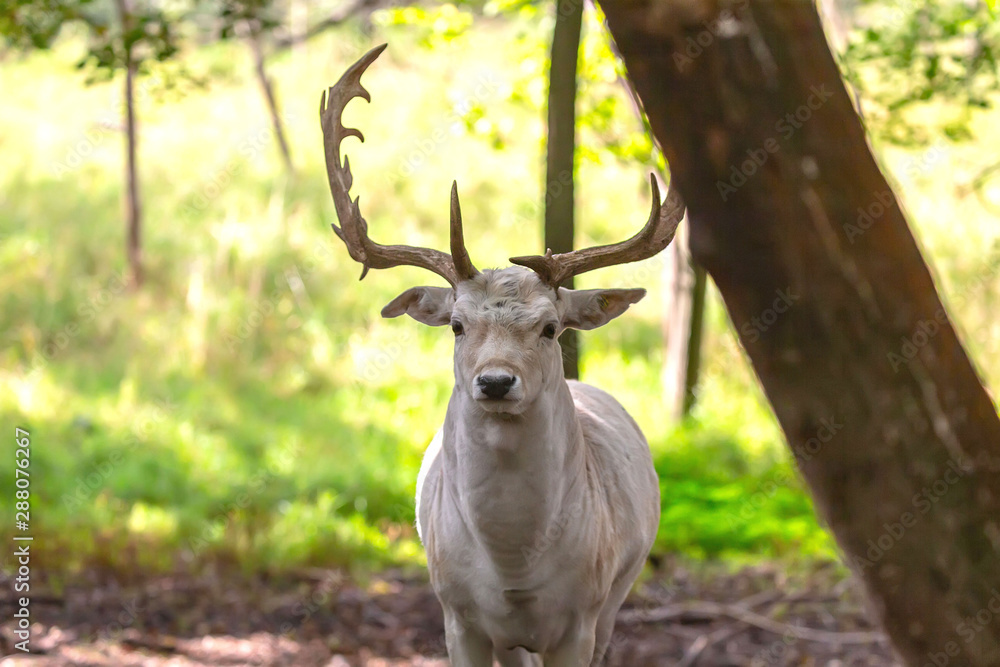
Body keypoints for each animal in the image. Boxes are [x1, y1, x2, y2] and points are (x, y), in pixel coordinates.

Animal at [320, 44, 685, 666]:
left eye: (551, 327)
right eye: (457, 325)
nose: (495, 382)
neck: (516, 570)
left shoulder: (582, 617)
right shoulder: (457, 615)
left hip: (618, 593)